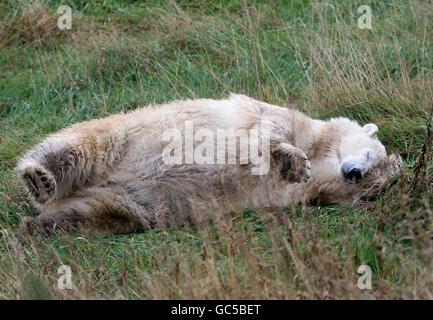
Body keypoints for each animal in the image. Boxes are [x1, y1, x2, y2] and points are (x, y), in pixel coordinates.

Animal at [16, 94, 402, 236]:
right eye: (371, 157)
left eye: (372, 182)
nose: (353, 171)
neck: (319, 146)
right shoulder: (276, 117)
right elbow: (265, 134)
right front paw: (292, 161)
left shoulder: (290, 194)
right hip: (119, 139)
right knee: (77, 147)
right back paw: (39, 178)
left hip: (125, 195)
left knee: (103, 213)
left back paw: (37, 226)